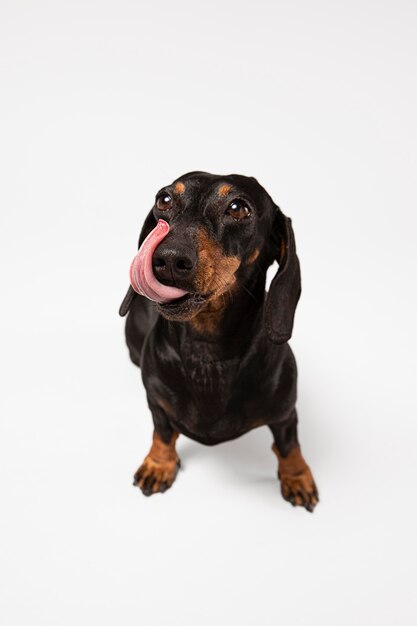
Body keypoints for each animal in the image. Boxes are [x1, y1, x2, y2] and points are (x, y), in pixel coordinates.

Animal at [119, 169, 318, 508]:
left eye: (238, 208)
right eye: (164, 199)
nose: (168, 259)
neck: (207, 352)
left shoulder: (285, 413)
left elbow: (289, 445)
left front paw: (297, 476)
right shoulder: (156, 402)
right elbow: (162, 432)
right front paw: (158, 464)